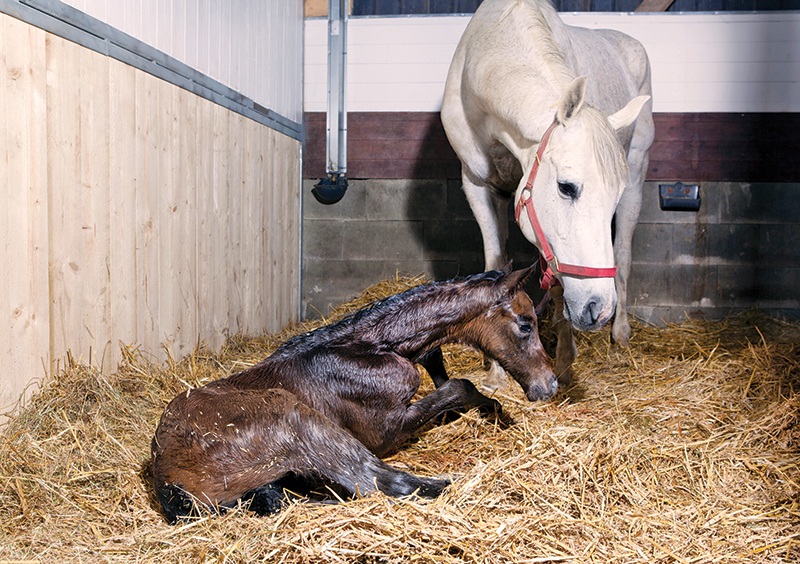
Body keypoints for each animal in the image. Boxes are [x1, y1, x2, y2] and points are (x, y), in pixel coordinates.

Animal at [152, 264, 555, 521]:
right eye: (525, 324)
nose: (549, 384)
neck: (368, 348)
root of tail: (167, 481)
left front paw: (494, 411)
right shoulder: (385, 431)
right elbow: (460, 385)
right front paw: (497, 413)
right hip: (298, 420)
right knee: (379, 481)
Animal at [441, 0, 654, 387]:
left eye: (611, 198)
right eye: (566, 186)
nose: (599, 309)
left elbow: (556, 282)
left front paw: (565, 361)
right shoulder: (477, 185)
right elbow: (496, 265)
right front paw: (495, 369)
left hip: (638, 172)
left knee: (624, 254)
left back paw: (621, 335)